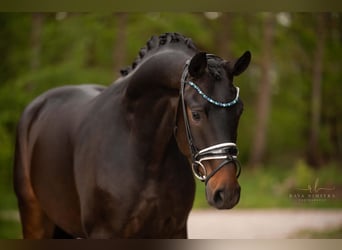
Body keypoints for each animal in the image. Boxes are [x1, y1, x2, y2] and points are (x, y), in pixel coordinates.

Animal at [13, 32, 251, 238]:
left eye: (239, 110)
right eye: (196, 114)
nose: (227, 192)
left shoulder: (174, 230)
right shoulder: (103, 233)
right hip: (34, 218)